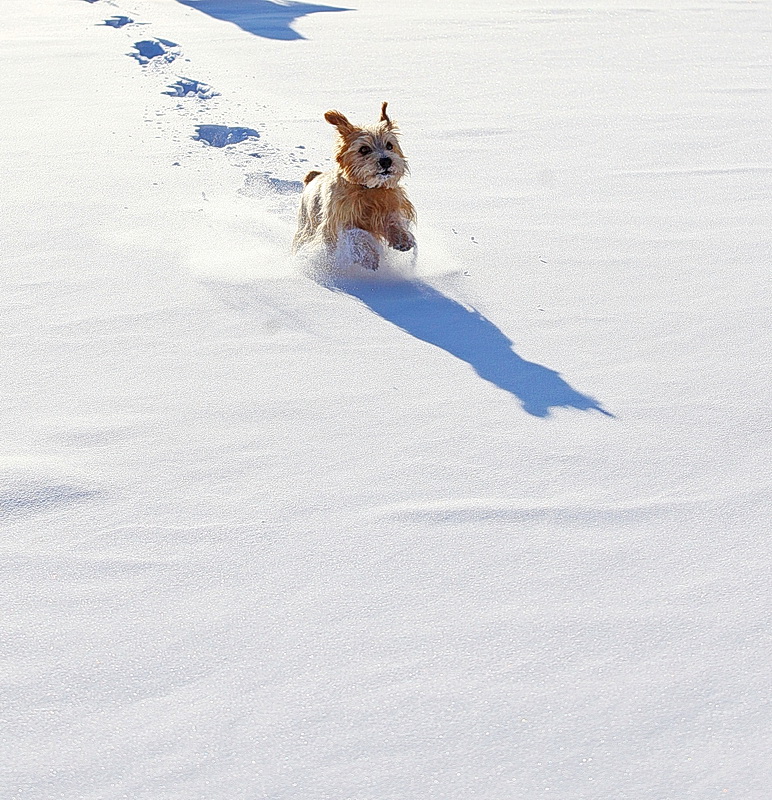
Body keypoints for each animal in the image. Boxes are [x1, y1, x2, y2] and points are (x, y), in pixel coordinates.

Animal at [292, 102, 416, 272]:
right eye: (364, 149)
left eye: (389, 145)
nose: (386, 161)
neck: (368, 189)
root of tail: (313, 178)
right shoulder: (340, 221)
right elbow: (356, 235)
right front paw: (369, 257)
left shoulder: (388, 207)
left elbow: (393, 221)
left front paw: (402, 238)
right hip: (306, 227)